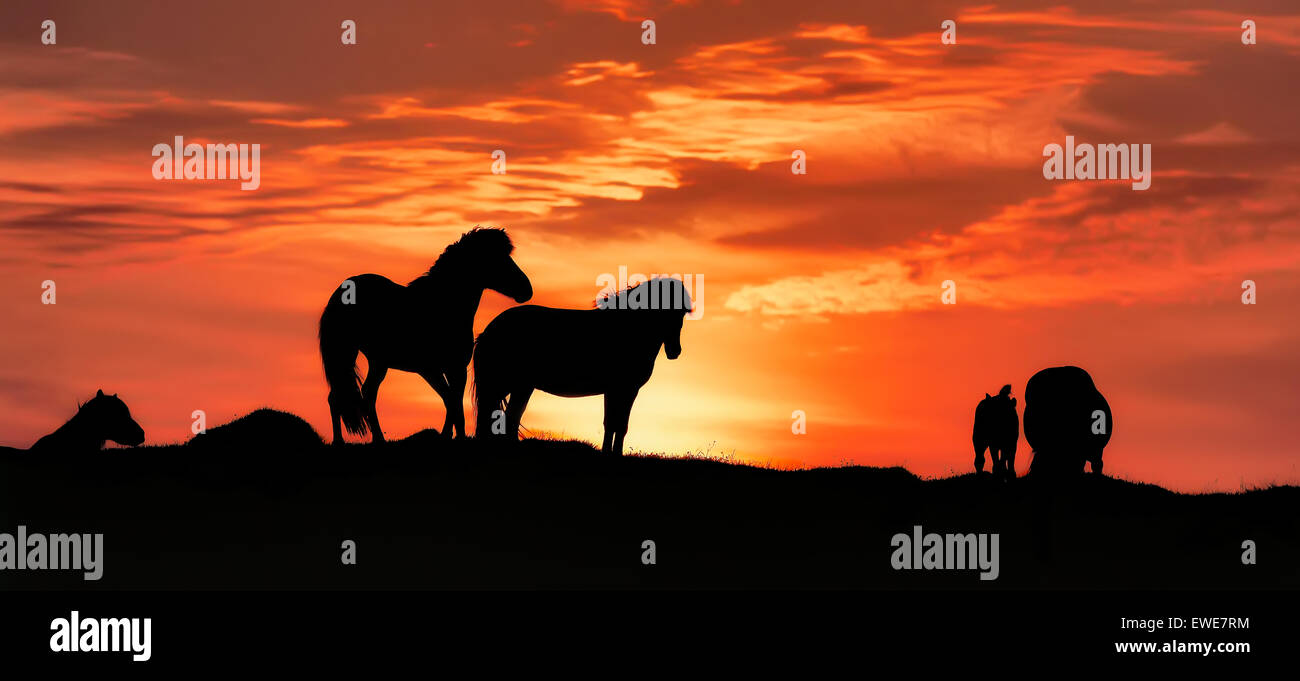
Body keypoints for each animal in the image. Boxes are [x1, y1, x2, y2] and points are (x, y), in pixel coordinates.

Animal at [319, 226, 533, 444]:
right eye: (498, 258)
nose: (527, 290)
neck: (440, 304)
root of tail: (341, 293)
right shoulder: (438, 369)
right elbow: (453, 402)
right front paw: (454, 437)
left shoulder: (450, 369)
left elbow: (451, 401)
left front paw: (448, 435)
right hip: (348, 352)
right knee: (345, 396)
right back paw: (343, 440)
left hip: (376, 361)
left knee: (361, 395)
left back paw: (375, 439)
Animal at [475, 276, 696, 457]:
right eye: (665, 309)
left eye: (682, 313)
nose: (675, 351)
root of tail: (490, 328)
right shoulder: (623, 389)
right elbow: (616, 423)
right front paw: (612, 454)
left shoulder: (619, 391)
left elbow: (615, 424)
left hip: (519, 387)